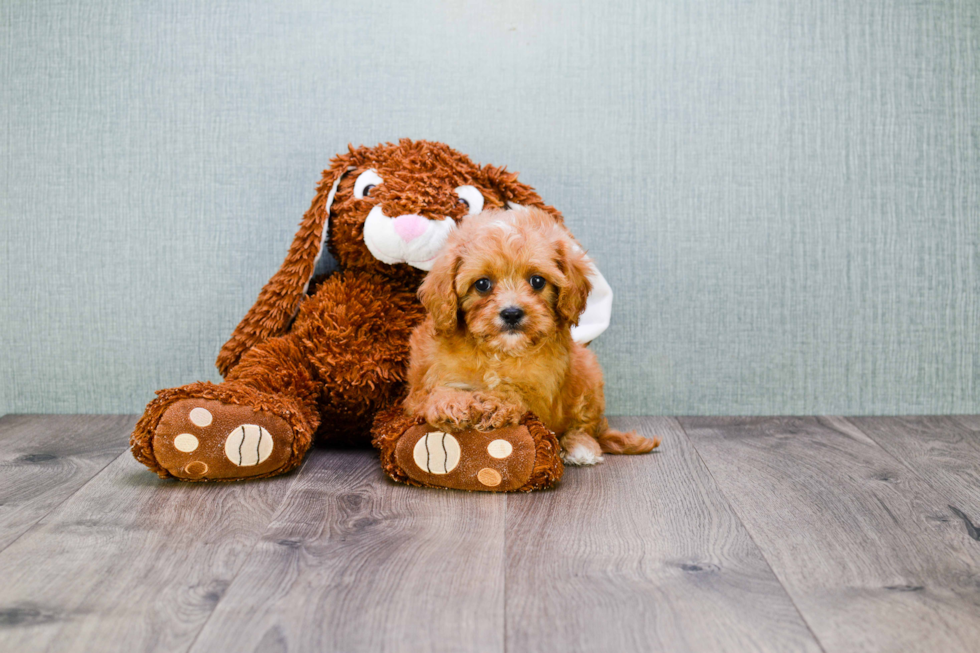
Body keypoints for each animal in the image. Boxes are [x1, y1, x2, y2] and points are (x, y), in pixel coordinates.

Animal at [402, 208, 664, 464]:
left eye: (537, 281)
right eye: (482, 284)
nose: (511, 313)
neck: (499, 351)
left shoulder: (543, 393)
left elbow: (518, 393)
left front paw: (495, 403)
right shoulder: (421, 386)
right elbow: (433, 393)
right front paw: (452, 403)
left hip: (587, 374)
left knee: (585, 425)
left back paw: (581, 446)